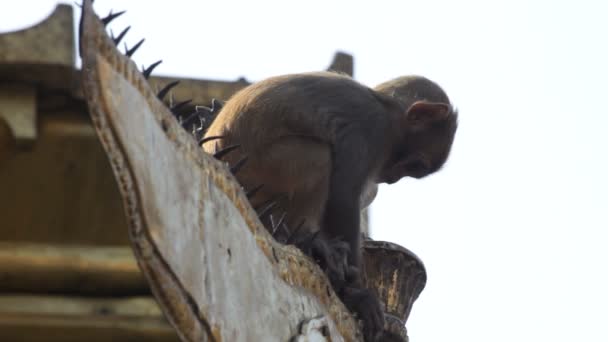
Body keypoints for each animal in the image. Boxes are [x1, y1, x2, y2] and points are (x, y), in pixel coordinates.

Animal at [203, 71, 456, 340]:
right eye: (415, 166)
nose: (392, 178)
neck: (385, 106)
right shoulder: (369, 129)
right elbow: (343, 199)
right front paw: (355, 296)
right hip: (257, 171)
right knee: (319, 155)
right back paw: (306, 241)